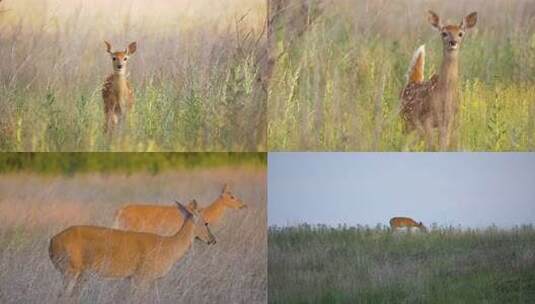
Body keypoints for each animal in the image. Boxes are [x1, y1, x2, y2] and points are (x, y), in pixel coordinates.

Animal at [48, 201, 216, 298]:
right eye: (206, 223)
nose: (213, 240)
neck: (169, 246)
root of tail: (52, 242)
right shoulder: (142, 276)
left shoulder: (132, 278)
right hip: (70, 270)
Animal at [400, 11, 480, 151]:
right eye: (444, 33)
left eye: (460, 33)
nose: (453, 42)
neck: (444, 95)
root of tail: (413, 81)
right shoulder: (426, 118)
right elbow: (432, 145)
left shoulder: (448, 120)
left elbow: (443, 145)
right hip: (405, 118)